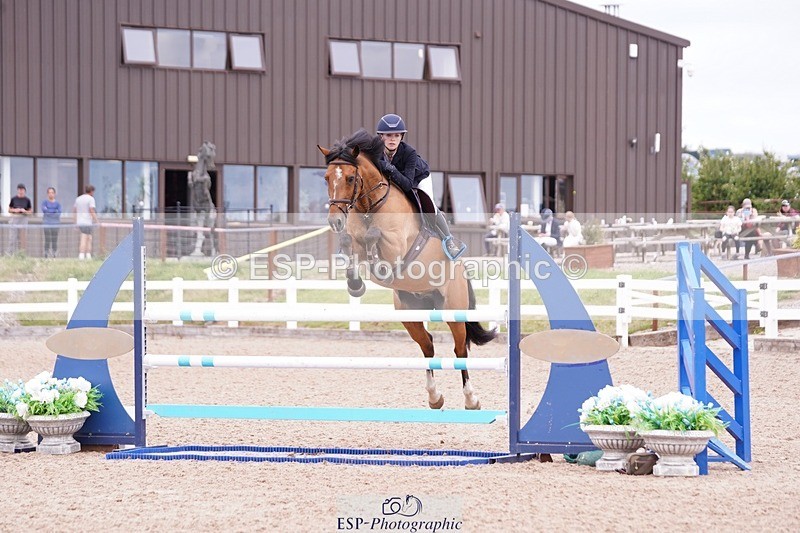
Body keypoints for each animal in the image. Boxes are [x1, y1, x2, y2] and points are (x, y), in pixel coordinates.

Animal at [318, 129, 497, 410]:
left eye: (350, 177)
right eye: (326, 178)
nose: (334, 221)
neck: (369, 206)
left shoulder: (397, 246)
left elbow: (375, 237)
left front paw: (377, 265)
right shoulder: (354, 241)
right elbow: (349, 243)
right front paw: (355, 285)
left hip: (452, 308)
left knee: (460, 350)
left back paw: (471, 399)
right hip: (408, 311)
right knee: (428, 345)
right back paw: (434, 397)